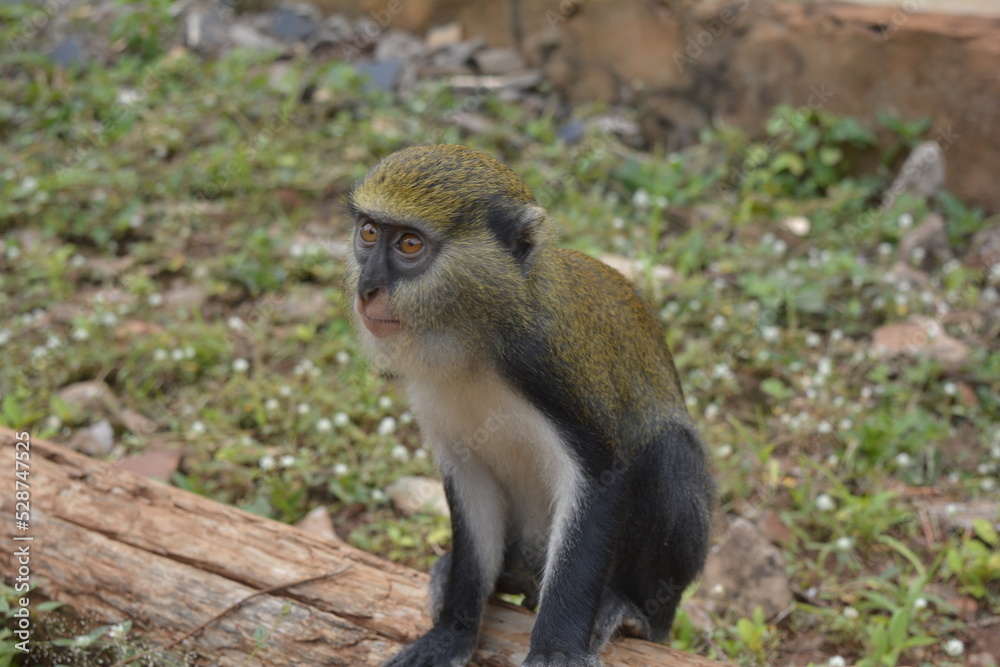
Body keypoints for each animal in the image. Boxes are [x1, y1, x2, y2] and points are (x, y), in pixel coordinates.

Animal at [345, 144, 713, 667]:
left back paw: (633, 610)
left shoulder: (544, 367)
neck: (476, 336)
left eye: (410, 245)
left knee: (668, 451)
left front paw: (556, 650)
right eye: (370, 233)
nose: (367, 289)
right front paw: (451, 633)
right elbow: (471, 489)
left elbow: (600, 477)